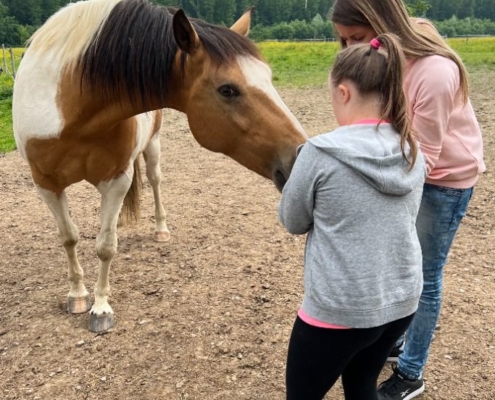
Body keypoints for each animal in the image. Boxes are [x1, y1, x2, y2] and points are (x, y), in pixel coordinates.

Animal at [13, 0, 308, 332]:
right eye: (227, 89)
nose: (301, 154)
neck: (70, 106)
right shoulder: (46, 184)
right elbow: (69, 238)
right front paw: (77, 294)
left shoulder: (116, 180)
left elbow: (105, 246)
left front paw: (101, 308)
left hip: (153, 147)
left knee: (155, 182)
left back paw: (161, 229)